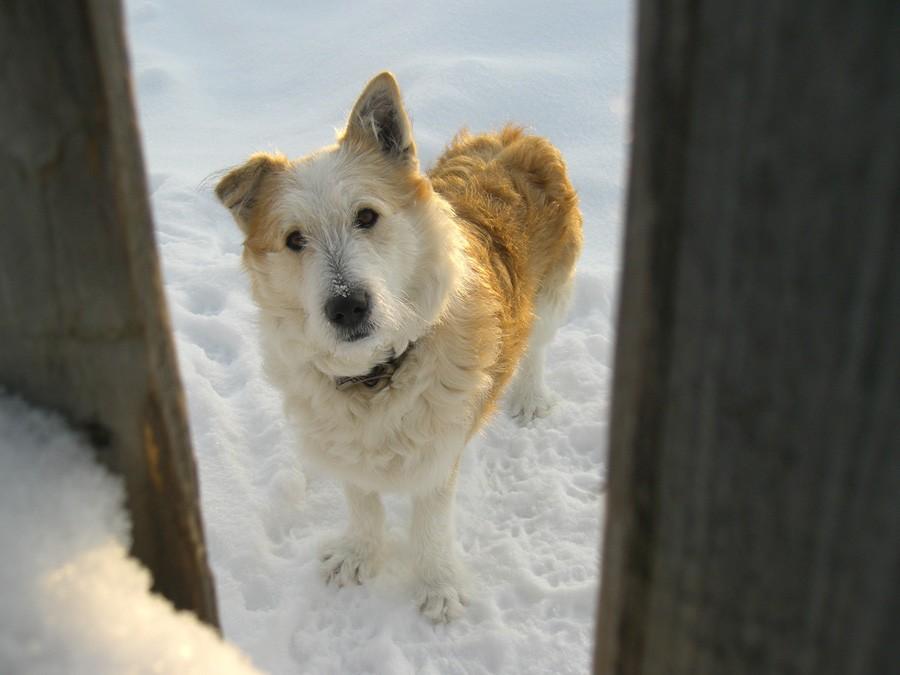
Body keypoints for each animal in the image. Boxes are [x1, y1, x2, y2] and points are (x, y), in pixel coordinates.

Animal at [217, 74, 584, 624]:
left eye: (366, 216)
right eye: (295, 239)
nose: (347, 307)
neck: (377, 373)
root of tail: (512, 134)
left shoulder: (438, 451)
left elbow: (430, 524)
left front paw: (438, 585)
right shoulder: (342, 442)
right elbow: (362, 501)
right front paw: (360, 554)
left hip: (553, 295)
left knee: (536, 346)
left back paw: (528, 396)